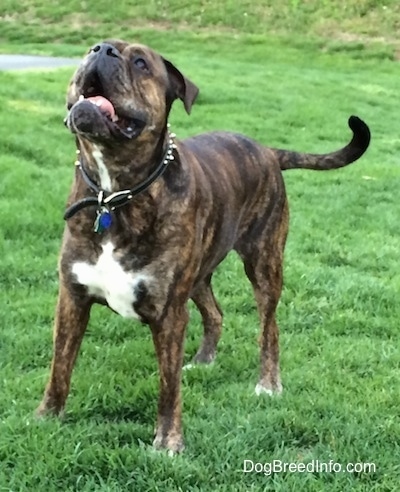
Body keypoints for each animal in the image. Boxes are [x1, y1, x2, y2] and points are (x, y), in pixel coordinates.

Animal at [36, 39, 370, 454]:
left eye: (141, 62)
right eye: (90, 48)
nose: (103, 49)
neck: (114, 195)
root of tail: (267, 150)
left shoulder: (168, 315)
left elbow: (169, 387)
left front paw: (168, 442)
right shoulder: (72, 298)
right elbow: (60, 364)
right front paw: (47, 416)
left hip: (264, 264)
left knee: (269, 328)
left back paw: (268, 383)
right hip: (199, 274)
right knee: (215, 313)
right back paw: (205, 359)